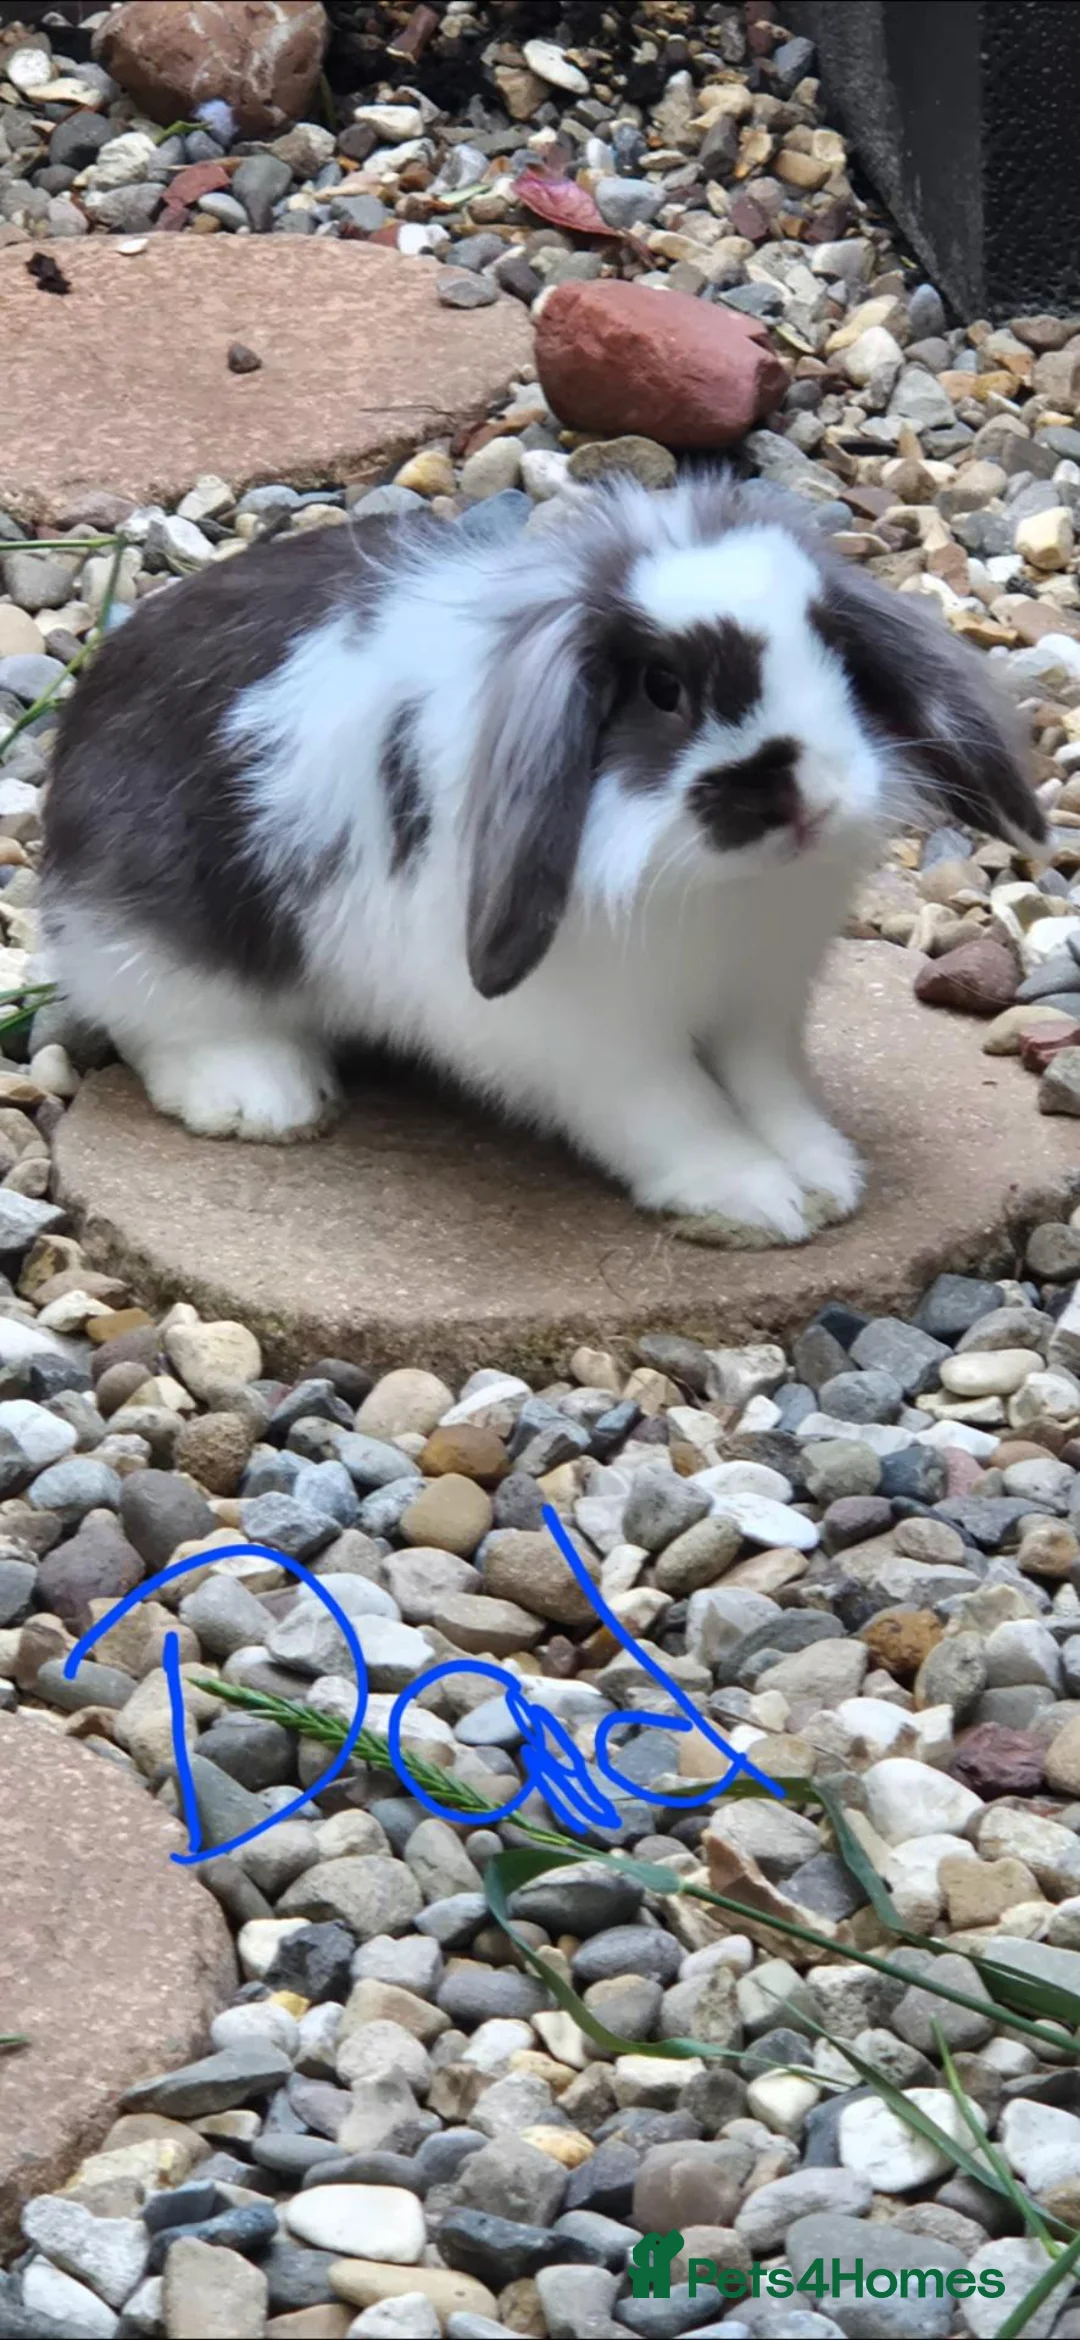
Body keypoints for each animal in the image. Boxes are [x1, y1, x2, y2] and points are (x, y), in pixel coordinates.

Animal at [40, 473, 1046, 1245]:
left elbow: (771, 1089)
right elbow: (673, 1113)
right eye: (662, 687)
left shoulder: (759, 1009)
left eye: (832, 648)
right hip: (159, 947)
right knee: (166, 1020)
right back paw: (264, 1099)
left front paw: (824, 1176)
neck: (720, 892)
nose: (807, 802)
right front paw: (753, 1198)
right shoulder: (596, 1044)